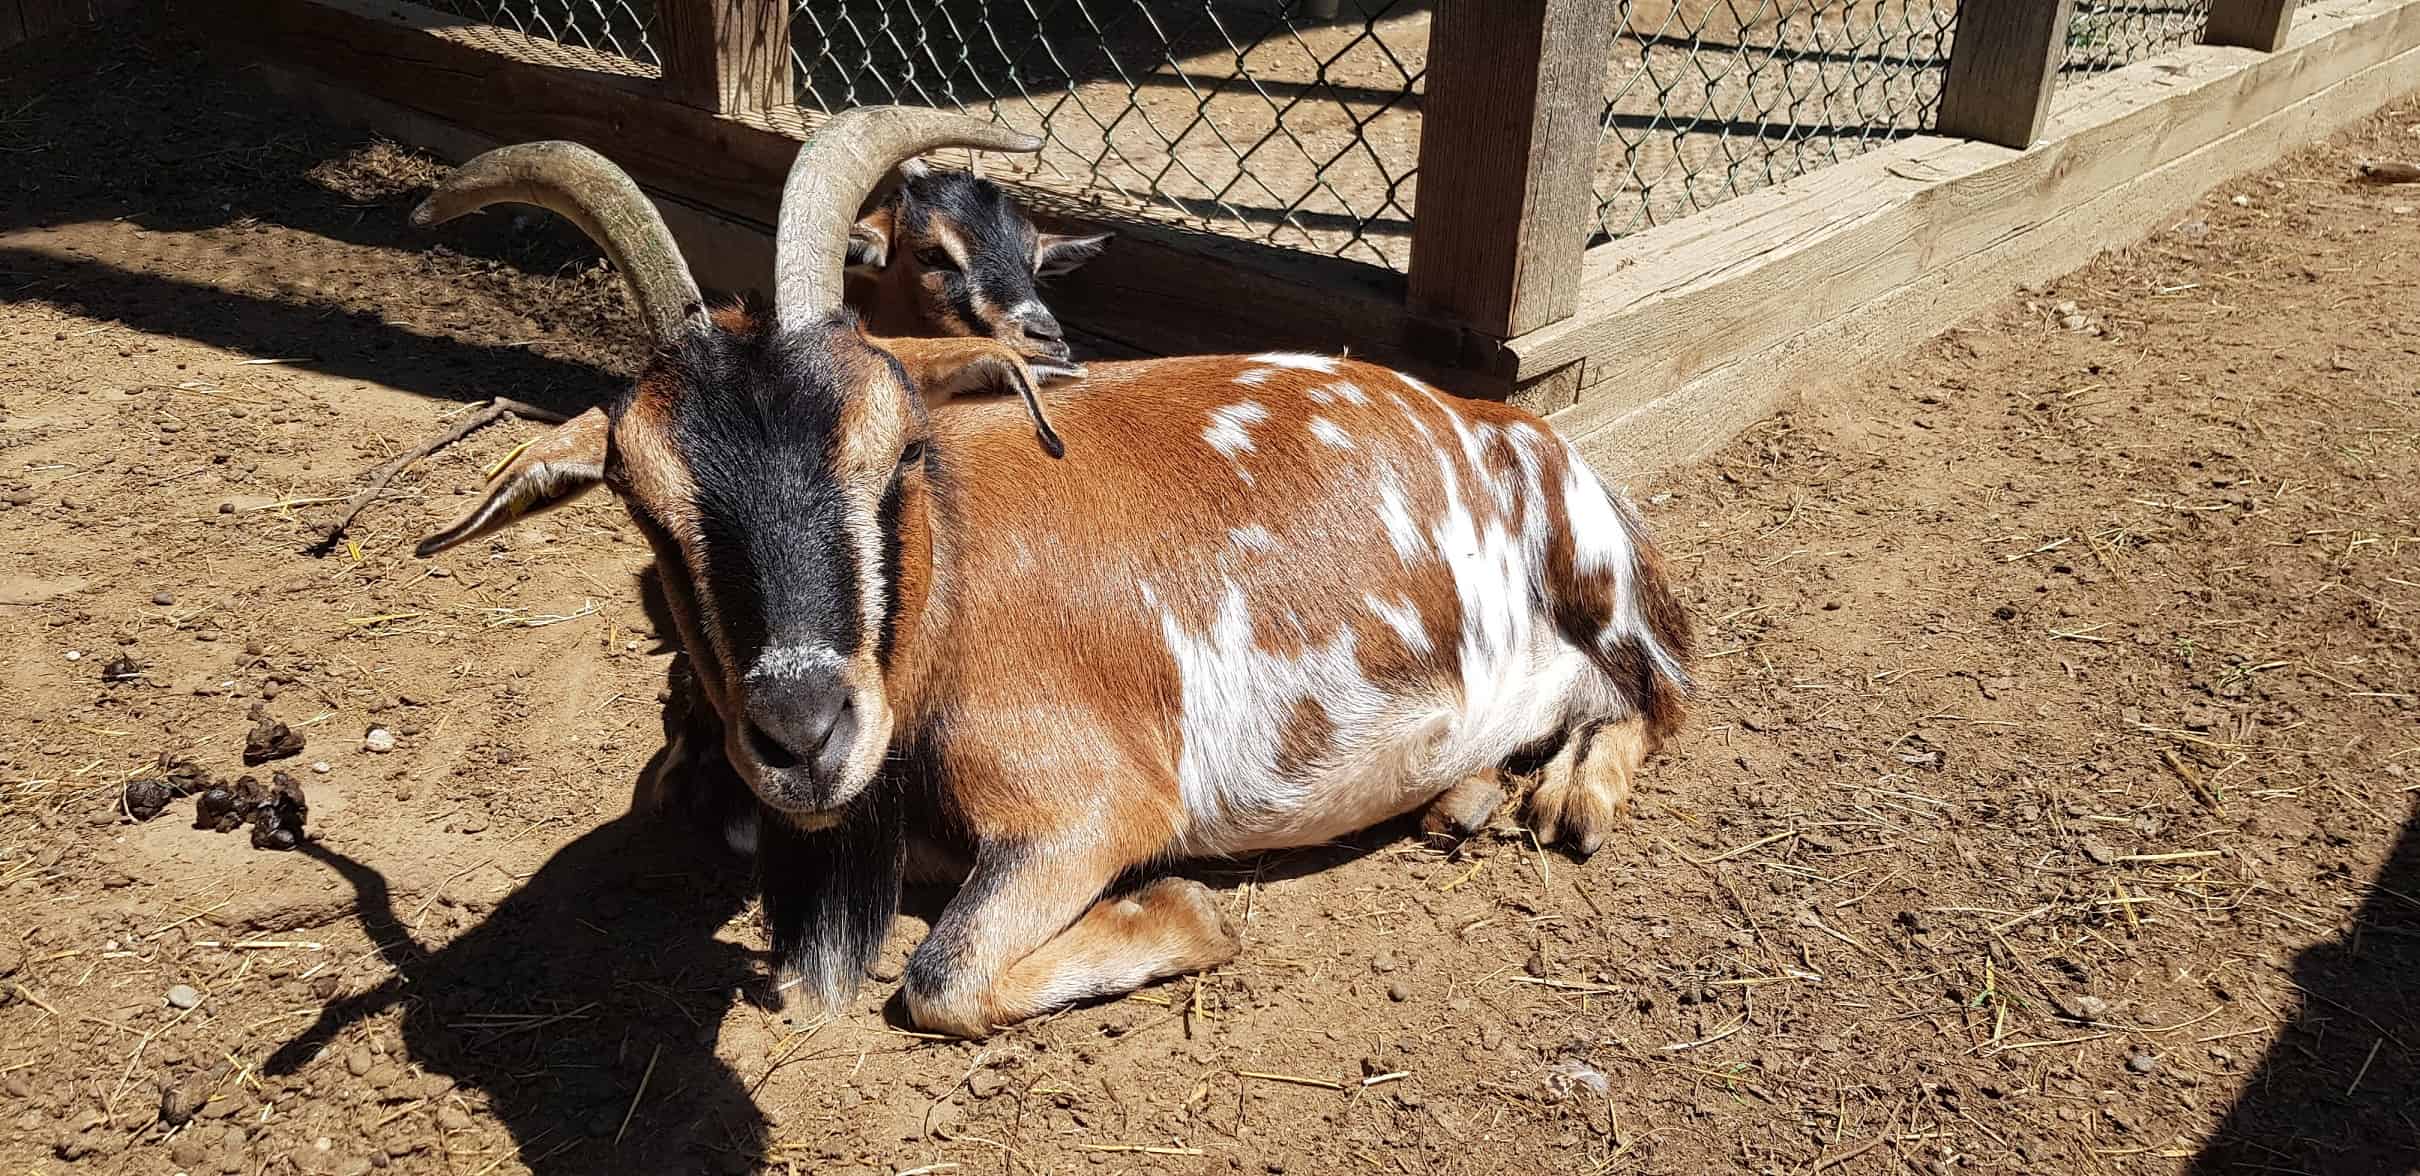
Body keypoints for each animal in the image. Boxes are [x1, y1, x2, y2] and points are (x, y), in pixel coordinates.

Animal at [406, 103, 1694, 1040]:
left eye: (900, 448)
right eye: (638, 499)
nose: (803, 732)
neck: (938, 612)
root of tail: (1513, 425)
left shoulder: (1092, 803)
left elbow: (939, 977)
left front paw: (1182, 910)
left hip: (1601, 585)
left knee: (1658, 694)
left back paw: (1569, 801)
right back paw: (1465, 796)